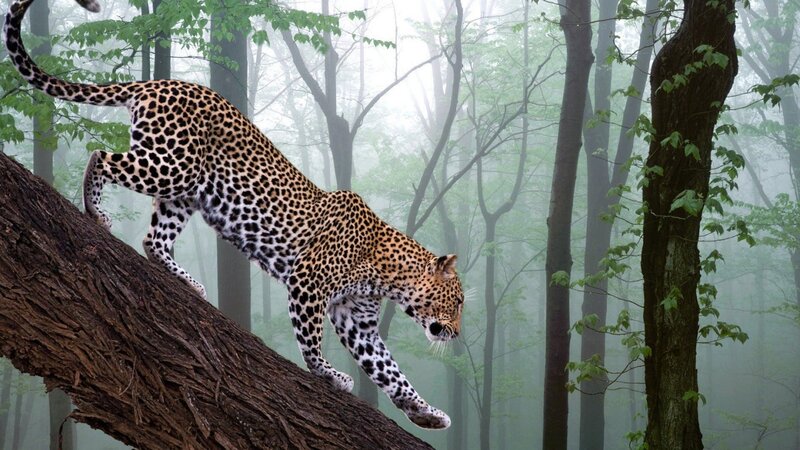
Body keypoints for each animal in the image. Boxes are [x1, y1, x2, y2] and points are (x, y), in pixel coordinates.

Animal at [5, 0, 465, 429]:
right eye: (458, 300)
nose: (458, 334)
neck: (387, 274)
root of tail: (162, 81)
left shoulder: (359, 323)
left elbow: (392, 373)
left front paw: (426, 413)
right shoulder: (308, 283)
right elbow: (311, 341)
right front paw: (329, 375)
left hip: (185, 192)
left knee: (154, 239)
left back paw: (188, 282)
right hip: (170, 166)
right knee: (100, 156)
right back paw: (95, 211)